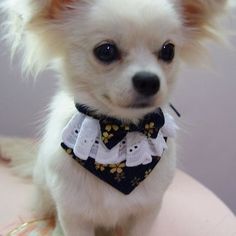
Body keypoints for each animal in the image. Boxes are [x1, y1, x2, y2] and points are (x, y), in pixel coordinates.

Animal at [0, 0, 231, 236]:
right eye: (106, 51)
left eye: (169, 50)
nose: (149, 81)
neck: (118, 129)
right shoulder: (74, 215)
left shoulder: (146, 211)